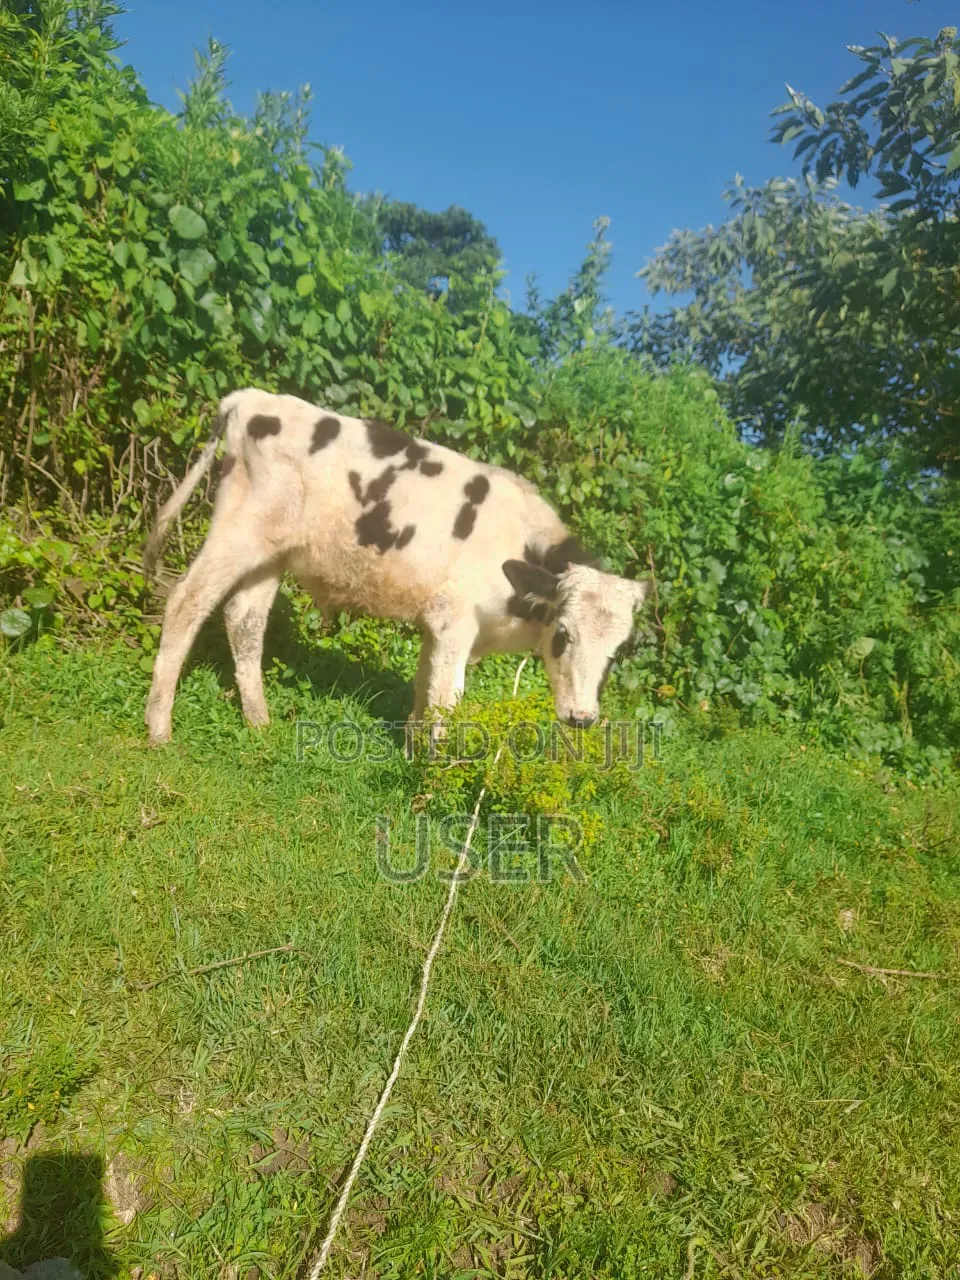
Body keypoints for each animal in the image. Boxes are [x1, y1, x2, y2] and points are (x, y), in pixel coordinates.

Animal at [143, 388, 649, 744]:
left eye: (616, 651)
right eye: (563, 633)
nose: (582, 718)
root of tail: (251, 398)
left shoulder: (435, 625)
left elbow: (424, 694)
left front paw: (414, 757)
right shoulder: (455, 622)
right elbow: (447, 705)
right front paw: (439, 781)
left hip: (270, 553)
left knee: (244, 621)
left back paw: (260, 724)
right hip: (238, 531)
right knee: (187, 600)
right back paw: (159, 729)